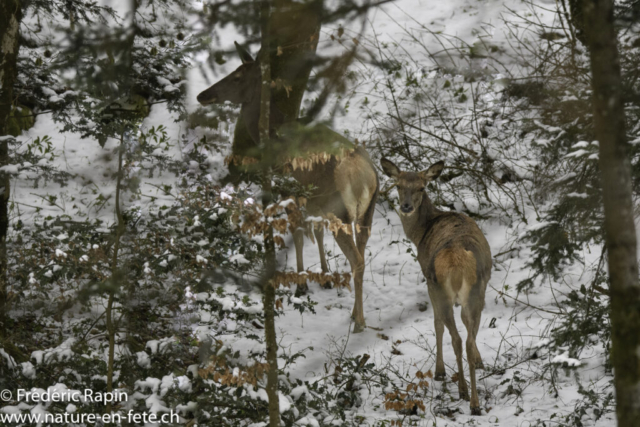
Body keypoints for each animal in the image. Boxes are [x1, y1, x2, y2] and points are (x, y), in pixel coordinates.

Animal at [199, 43, 380, 332]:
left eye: (237, 76)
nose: (203, 95)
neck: (273, 133)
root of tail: (366, 176)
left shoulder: (289, 190)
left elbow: (298, 233)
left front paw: (302, 285)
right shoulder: (313, 199)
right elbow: (316, 232)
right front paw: (325, 277)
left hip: (340, 209)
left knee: (357, 260)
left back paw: (360, 322)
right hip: (367, 211)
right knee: (361, 251)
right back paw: (355, 313)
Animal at [382, 157, 492, 414]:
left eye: (421, 187)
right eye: (398, 185)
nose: (406, 207)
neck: (421, 233)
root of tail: (457, 260)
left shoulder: (428, 281)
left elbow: (437, 325)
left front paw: (440, 371)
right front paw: (481, 361)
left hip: (440, 289)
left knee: (456, 337)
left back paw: (462, 391)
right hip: (477, 290)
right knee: (469, 339)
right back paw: (475, 402)